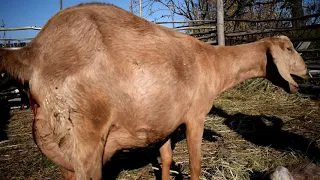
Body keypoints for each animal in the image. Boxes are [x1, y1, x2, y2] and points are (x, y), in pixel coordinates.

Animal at [0, 2, 310, 180]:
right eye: (289, 48)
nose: (307, 72)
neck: (211, 63)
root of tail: (32, 53)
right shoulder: (194, 116)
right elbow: (195, 165)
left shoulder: (165, 122)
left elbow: (167, 160)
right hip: (85, 138)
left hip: (62, 141)